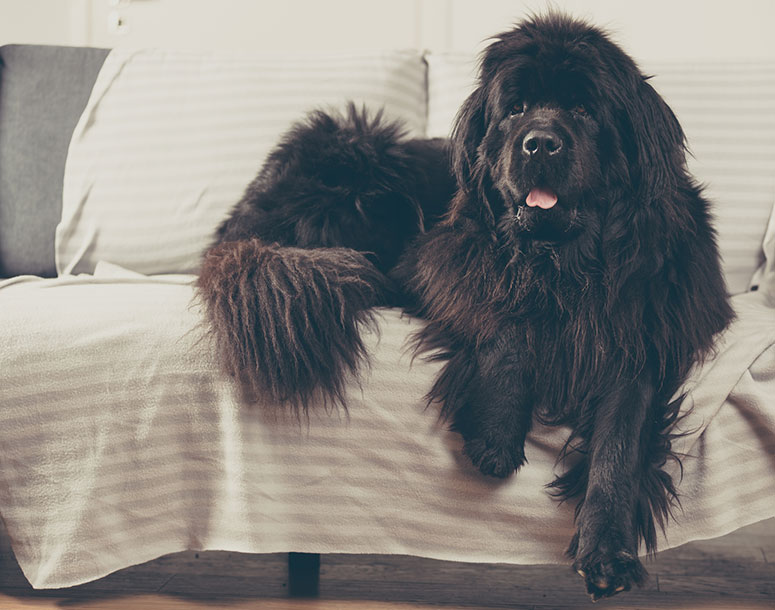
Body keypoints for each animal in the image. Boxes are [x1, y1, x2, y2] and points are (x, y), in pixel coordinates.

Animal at [199, 13, 732, 600]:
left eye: (584, 110)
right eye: (516, 108)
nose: (539, 144)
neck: (564, 265)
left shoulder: (641, 333)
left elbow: (620, 442)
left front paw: (608, 552)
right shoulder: (437, 262)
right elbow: (502, 316)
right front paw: (495, 431)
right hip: (361, 162)